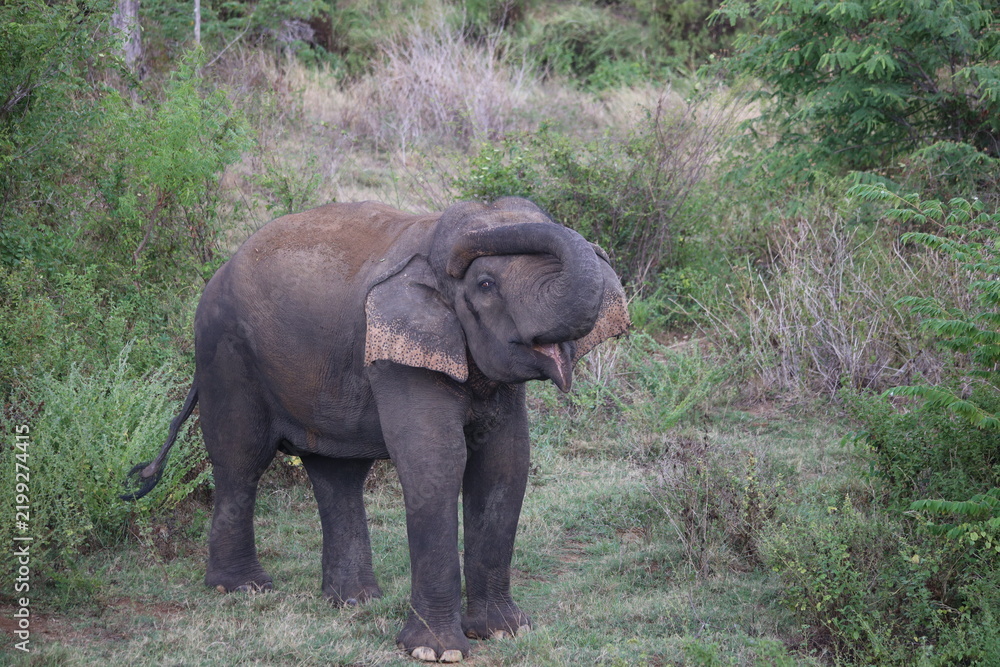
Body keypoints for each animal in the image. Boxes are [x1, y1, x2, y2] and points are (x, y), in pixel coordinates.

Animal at [123, 196, 630, 662]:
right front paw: (435, 652)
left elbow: (504, 465)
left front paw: (504, 632)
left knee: (337, 475)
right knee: (240, 461)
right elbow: (436, 464)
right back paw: (244, 589)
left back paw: (353, 601)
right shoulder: (393, 354)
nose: (599, 250)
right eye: (485, 285)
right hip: (225, 354)